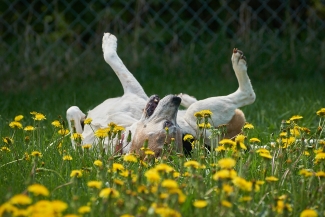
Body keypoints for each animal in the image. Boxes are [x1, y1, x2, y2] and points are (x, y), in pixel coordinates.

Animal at [66, 32, 254, 155]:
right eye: (168, 125)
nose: (175, 100)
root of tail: (234, 140)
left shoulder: (135, 92)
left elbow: (112, 58)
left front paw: (108, 41)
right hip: (201, 113)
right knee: (247, 95)